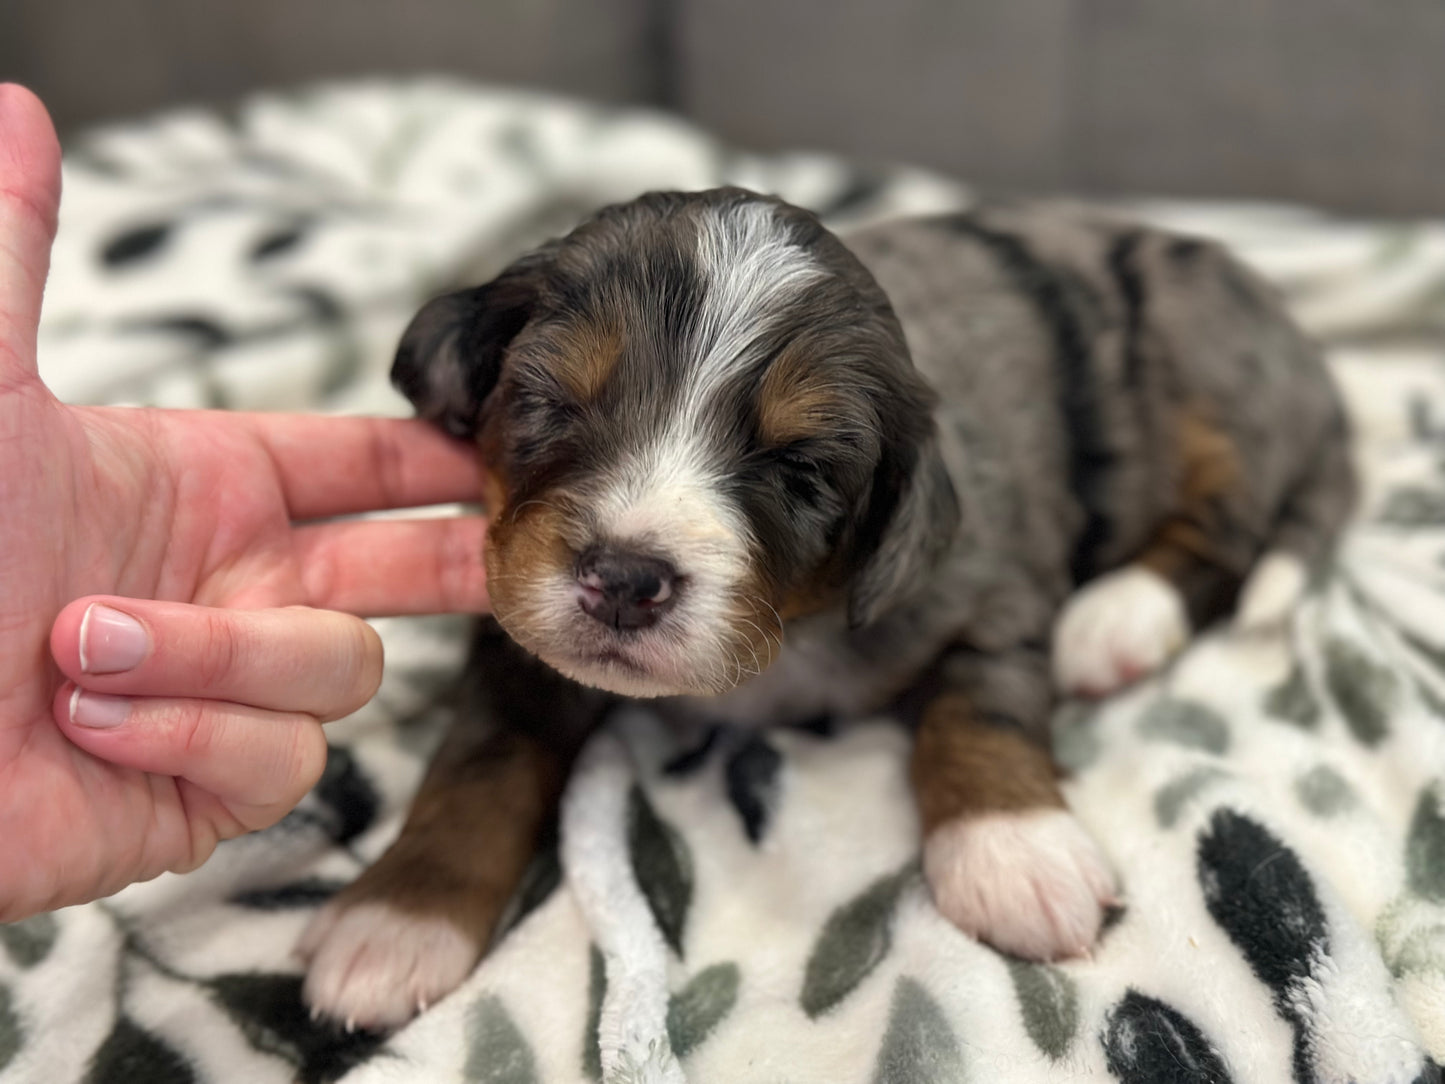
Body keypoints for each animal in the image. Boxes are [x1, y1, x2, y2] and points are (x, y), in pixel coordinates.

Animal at [296, 189, 1352, 1034]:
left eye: (799, 467)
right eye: (548, 401)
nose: (625, 578)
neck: (784, 638)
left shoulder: (992, 581)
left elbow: (980, 700)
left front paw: (1013, 850)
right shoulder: (515, 622)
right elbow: (484, 757)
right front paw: (398, 918)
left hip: (1216, 382)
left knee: (1227, 529)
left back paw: (1115, 620)